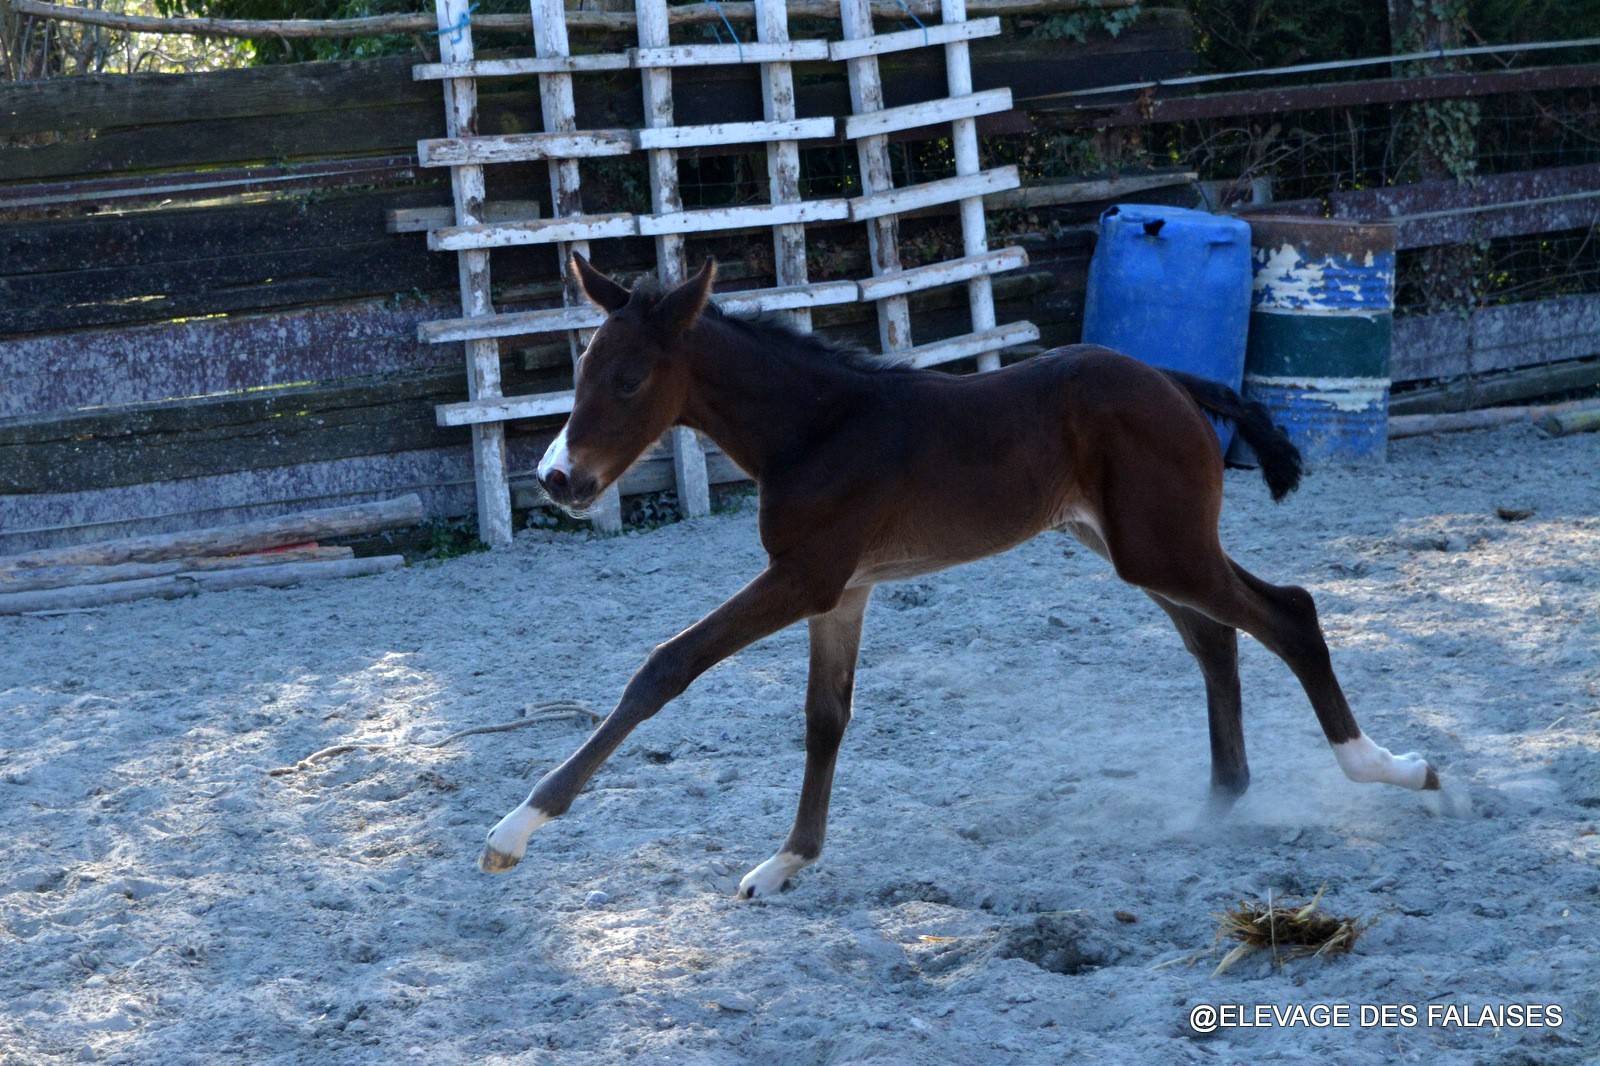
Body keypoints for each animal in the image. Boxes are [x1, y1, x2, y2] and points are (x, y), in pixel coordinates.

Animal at [480, 256, 1446, 896]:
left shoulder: (807, 575)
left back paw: (1391, 769)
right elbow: (825, 717)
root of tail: (1174, 380)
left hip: (1161, 548)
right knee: (1219, 639)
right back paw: (1219, 806)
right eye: (579, 369)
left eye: (629, 379)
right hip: (1135, 547)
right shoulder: (846, 588)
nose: (559, 480)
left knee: (1289, 613)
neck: (816, 428)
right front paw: (790, 860)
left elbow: (665, 666)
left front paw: (515, 829)